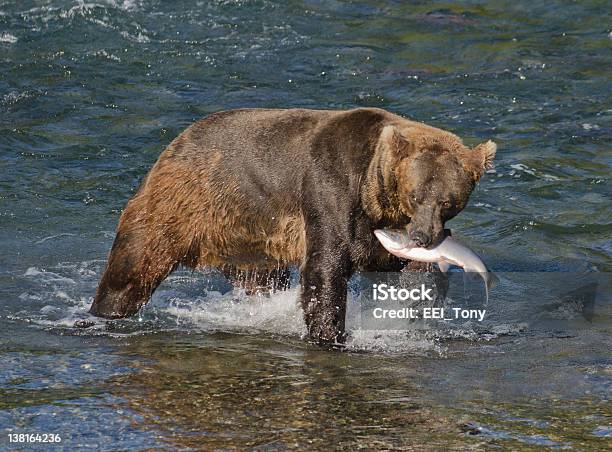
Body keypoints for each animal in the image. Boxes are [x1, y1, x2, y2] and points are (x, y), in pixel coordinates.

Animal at [88, 107, 494, 344]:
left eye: (448, 201)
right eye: (416, 194)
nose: (424, 237)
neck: (374, 194)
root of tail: (174, 144)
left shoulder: (385, 230)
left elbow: (404, 266)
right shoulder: (329, 188)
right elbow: (326, 267)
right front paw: (330, 334)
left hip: (248, 234)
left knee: (262, 278)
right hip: (183, 207)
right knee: (131, 268)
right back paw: (102, 314)